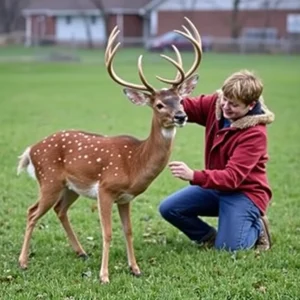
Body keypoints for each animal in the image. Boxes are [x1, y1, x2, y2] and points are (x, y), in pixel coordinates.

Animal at [17, 17, 203, 284]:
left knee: (59, 210)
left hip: (70, 186)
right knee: (32, 212)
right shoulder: (106, 188)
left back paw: (81, 252)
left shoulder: (125, 197)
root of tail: (31, 149)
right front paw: (104, 276)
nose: (181, 116)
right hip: (49, 179)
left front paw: (135, 268)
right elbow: (107, 232)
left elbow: (128, 230)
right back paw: (23, 262)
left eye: (180, 100)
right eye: (159, 104)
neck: (134, 162)